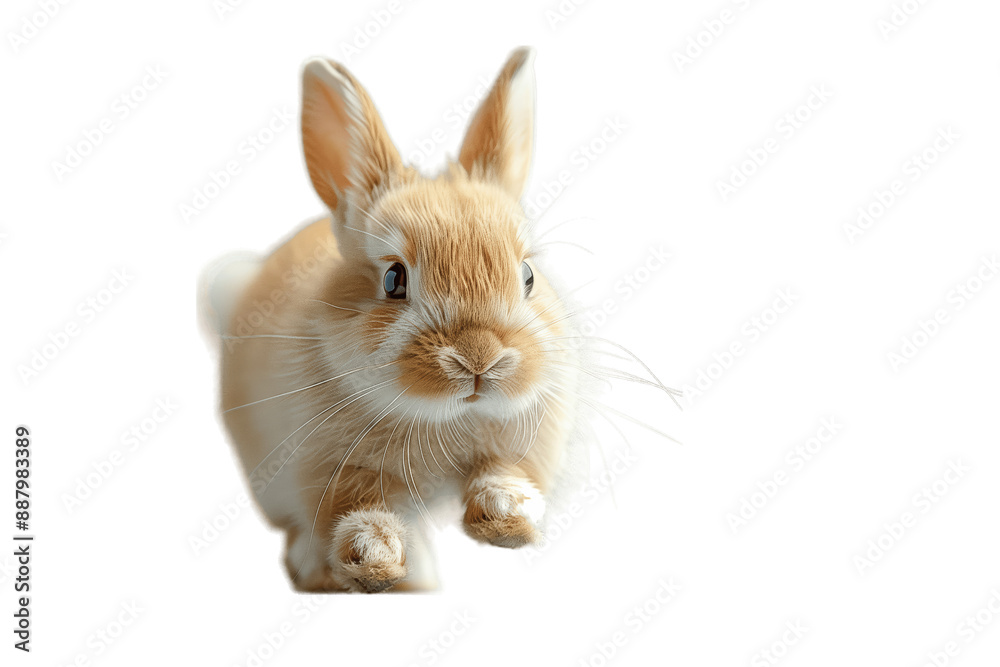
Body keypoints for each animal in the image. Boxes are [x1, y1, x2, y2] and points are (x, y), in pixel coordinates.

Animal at [213, 47, 587, 593]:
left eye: (528, 276)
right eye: (393, 279)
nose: (480, 359)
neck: (445, 417)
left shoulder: (522, 447)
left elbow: (503, 475)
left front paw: (506, 521)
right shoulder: (334, 470)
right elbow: (358, 513)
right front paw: (377, 564)